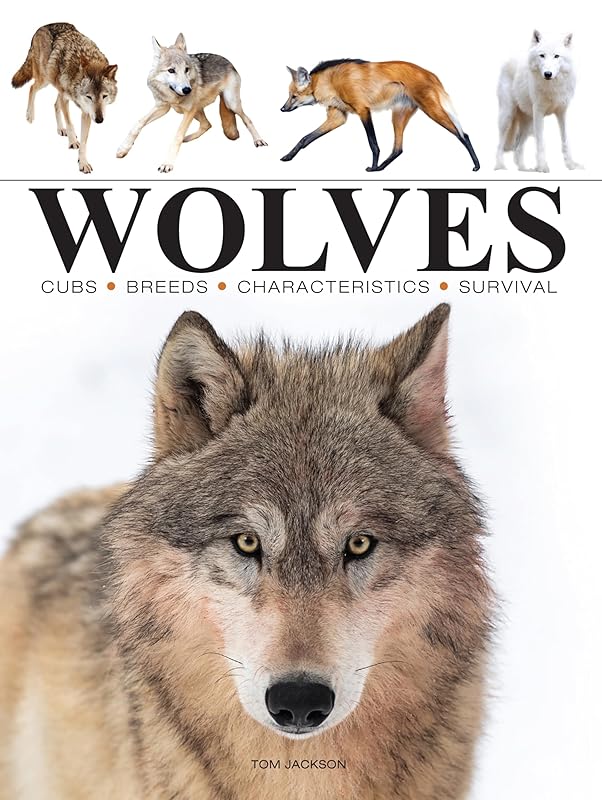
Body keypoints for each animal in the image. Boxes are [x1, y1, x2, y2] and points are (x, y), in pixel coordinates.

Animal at [11, 22, 118, 173]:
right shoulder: (70, 99)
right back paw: (30, 115)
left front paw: (83, 162)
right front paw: (72, 142)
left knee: (55, 105)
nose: (99, 120)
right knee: (32, 88)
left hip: (55, 87)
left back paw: (61, 129)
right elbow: (70, 123)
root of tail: (41, 27)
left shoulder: (86, 112)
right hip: (45, 80)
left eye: (104, 96)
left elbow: (84, 142)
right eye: (89, 96)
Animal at [116, 34, 267, 173]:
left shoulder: (188, 110)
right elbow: (138, 123)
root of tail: (230, 62)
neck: (173, 96)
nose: (187, 90)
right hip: (193, 110)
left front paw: (167, 163)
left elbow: (177, 136)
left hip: (230, 103)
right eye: (171, 70)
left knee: (247, 119)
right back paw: (187, 138)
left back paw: (259, 140)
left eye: (186, 69)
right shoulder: (163, 107)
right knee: (207, 124)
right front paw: (124, 148)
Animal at [280, 59, 480, 171]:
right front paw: (287, 157)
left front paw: (373, 165)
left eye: (293, 96)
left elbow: (373, 143)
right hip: (398, 115)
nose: (282, 108)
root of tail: (431, 74)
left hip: (431, 109)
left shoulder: (363, 110)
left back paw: (477, 165)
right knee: (398, 149)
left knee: (463, 134)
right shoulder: (338, 117)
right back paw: (382, 169)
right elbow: (305, 139)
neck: (330, 82)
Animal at [495, 30, 582, 172]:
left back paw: (523, 169)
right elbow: (541, 142)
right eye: (542, 55)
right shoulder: (539, 113)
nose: (548, 74)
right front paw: (542, 166)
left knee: (518, 147)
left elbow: (565, 140)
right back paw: (500, 166)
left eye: (556, 56)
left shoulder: (562, 112)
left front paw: (571, 165)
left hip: (528, 122)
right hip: (507, 117)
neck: (552, 87)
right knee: (500, 144)